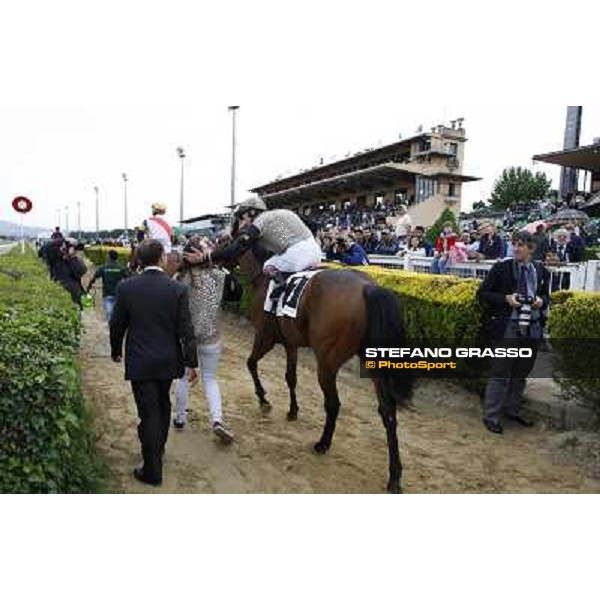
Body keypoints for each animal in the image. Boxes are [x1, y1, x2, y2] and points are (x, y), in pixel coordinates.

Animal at [231, 244, 412, 492]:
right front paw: (293, 411)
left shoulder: (265, 337)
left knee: (333, 404)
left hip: (326, 362)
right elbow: (290, 377)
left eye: (223, 240)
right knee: (388, 412)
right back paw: (394, 476)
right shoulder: (291, 343)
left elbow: (250, 363)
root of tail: (368, 287)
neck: (264, 278)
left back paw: (323, 443)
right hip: (374, 362)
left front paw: (264, 401)